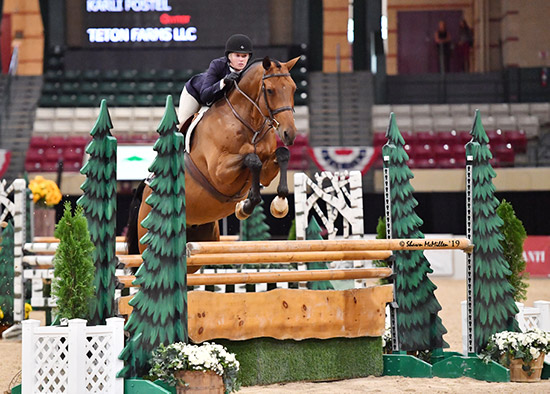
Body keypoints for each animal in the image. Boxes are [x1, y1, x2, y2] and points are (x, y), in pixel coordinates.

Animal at [128, 55, 302, 268]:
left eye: (293, 88)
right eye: (270, 90)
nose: (289, 134)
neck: (249, 124)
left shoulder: (267, 171)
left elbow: (282, 155)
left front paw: (279, 204)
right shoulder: (220, 173)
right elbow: (252, 160)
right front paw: (246, 206)